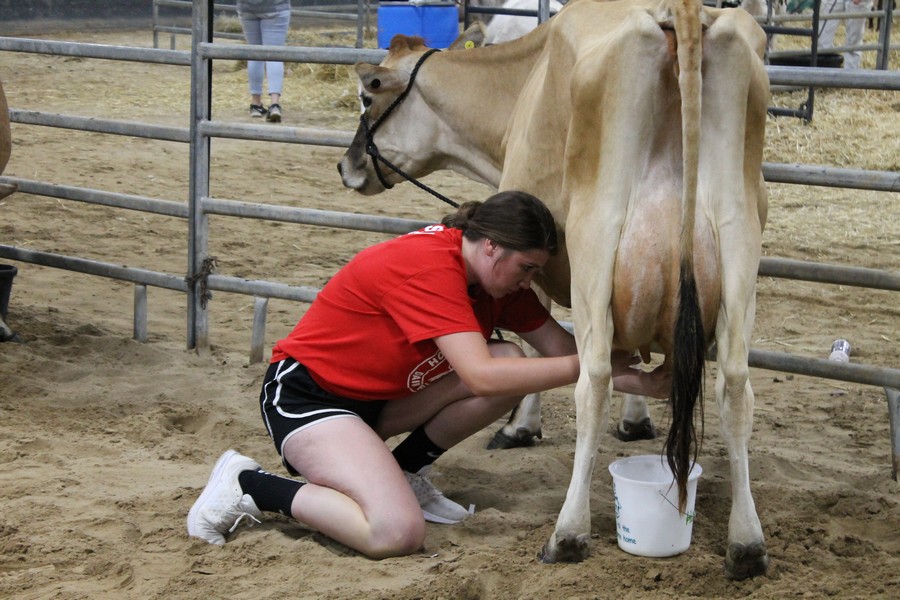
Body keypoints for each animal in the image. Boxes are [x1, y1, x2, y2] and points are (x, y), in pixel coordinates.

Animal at [342, 0, 768, 580]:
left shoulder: (530, 261)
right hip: (740, 244)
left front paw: (521, 427)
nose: (347, 166)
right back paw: (746, 544)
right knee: (736, 386)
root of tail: (680, 13)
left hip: (597, 239)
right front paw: (637, 420)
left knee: (593, 381)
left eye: (368, 96)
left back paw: (567, 533)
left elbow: (537, 344)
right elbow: (631, 351)